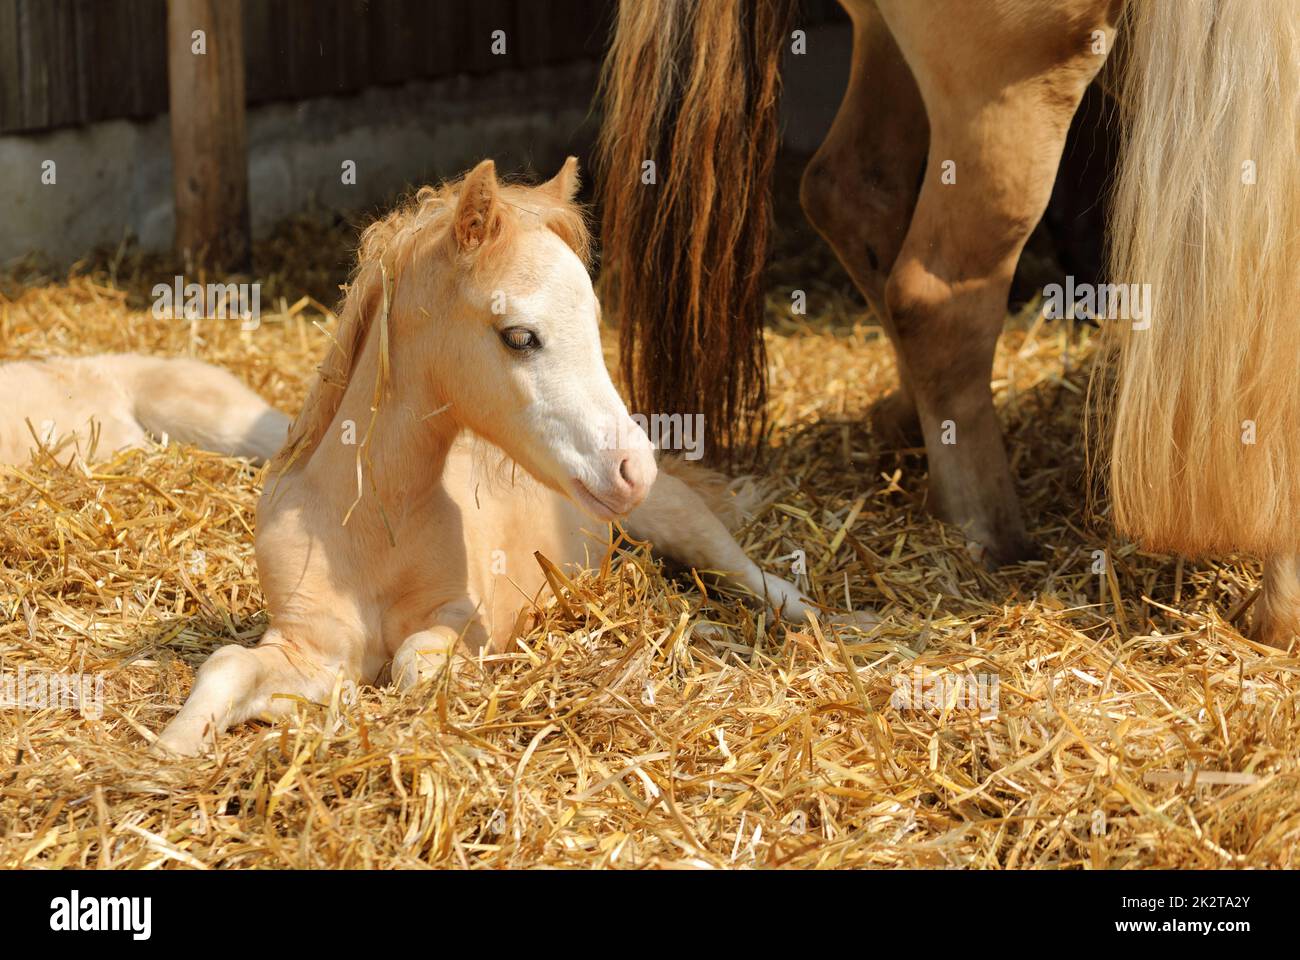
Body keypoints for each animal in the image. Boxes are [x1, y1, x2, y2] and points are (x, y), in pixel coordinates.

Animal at [157, 158, 863, 754]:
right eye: (520, 336)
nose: (632, 469)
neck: (374, 525)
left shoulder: (469, 624)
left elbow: (412, 663)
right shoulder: (306, 643)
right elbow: (228, 666)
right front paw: (169, 754)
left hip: (683, 526)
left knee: (753, 577)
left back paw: (825, 624)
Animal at [598, 1, 1300, 642]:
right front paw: (1279, 608)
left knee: (852, 195)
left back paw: (909, 424)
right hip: (1014, 76)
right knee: (934, 296)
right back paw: (984, 528)